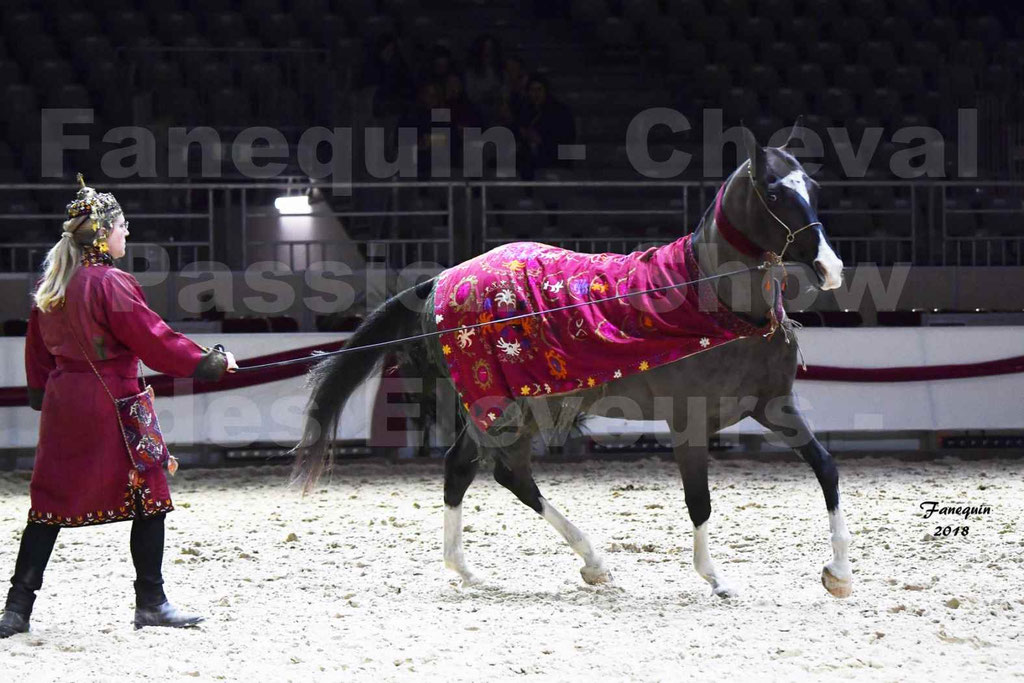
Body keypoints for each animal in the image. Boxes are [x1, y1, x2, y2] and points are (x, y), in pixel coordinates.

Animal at [293, 123, 853, 600]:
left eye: (814, 187)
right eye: (776, 193)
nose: (831, 269)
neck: (716, 305)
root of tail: (443, 279)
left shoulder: (775, 406)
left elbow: (827, 469)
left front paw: (839, 574)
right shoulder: (688, 424)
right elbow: (700, 500)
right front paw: (715, 579)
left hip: (516, 408)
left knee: (467, 470)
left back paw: (473, 569)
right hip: (504, 408)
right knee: (504, 473)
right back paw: (590, 562)